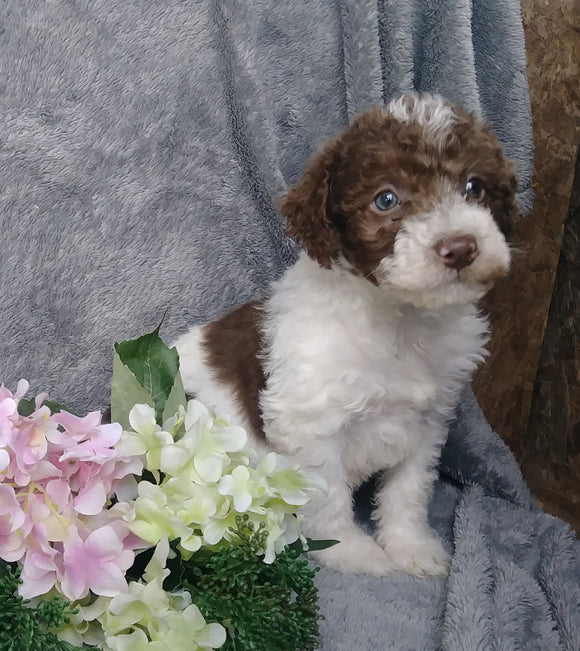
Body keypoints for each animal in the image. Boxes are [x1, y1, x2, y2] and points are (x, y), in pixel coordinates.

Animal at [173, 93, 516, 576]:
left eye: (475, 187)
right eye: (386, 199)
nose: (461, 248)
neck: (399, 319)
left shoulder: (428, 420)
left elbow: (409, 488)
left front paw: (409, 545)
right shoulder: (309, 425)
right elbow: (327, 495)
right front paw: (350, 551)